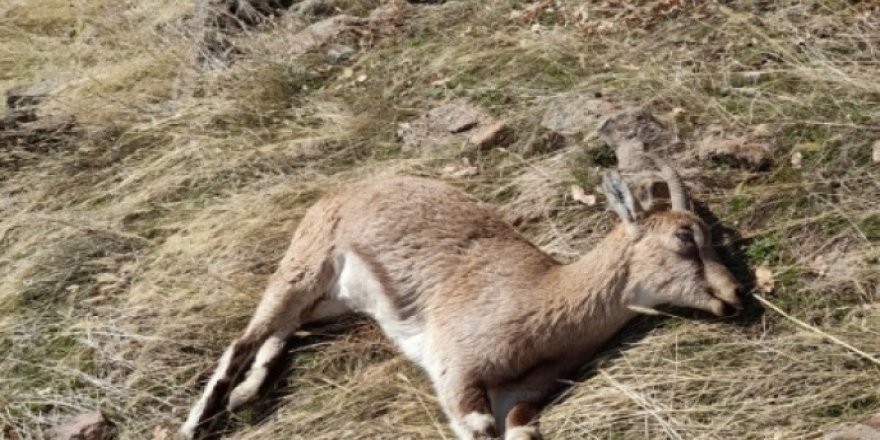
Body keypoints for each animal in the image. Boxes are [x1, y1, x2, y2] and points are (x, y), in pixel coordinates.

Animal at [179, 158, 744, 440]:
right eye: (685, 239)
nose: (734, 296)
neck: (544, 299)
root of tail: (339, 192)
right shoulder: (457, 371)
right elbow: (475, 426)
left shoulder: (522, 398)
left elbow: (520, 432)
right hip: (303, 267)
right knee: (243, 339)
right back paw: (197, 423)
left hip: (331, 301)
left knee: (282, 330)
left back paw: (245, 394)